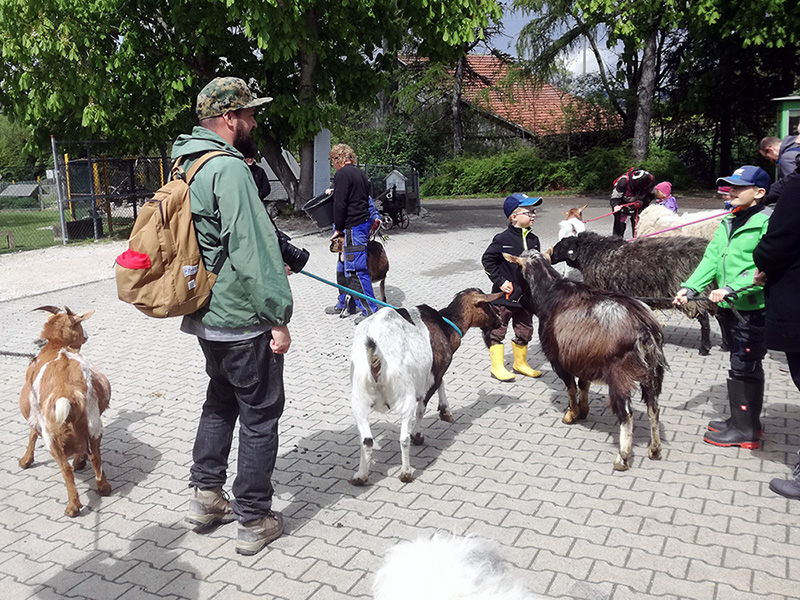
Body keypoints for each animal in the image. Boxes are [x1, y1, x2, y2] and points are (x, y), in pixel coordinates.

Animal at [19, 304, 111, 516]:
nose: (86, 336)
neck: (57, 346)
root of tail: (67, 393)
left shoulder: (35, 415)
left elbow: (32, 433)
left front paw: (26, 460)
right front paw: (80, 461)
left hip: (51, 438)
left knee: (66, 469)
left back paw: (73, 507)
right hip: (93, 424)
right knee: (95, 457)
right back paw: (103, 487)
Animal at [348, 288, 500, 486]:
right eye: (488, 304)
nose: (499, 320)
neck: (445, 324)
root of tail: (376, 355)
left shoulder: (433, 371)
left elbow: (442, 382)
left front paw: (445, 410)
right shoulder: (432, 375)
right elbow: (423, 407)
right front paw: (419, 434)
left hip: (359, 397)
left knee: (366, 440)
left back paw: (360, 476)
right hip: (404, 395)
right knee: (403, 438)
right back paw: (406, 472)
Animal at [506, 251, 668, 472]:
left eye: (517, 269)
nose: (514, 298)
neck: (550, 292)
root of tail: (646, 329)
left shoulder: (559, 361)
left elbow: (571, 388)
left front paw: (571, 414)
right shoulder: (584, 359)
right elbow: (583, 384)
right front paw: (583, 411)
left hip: (620, 375)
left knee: (627, 414)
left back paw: (622, 458)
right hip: (652, 373)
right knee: (654, 408)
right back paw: (655, 449)